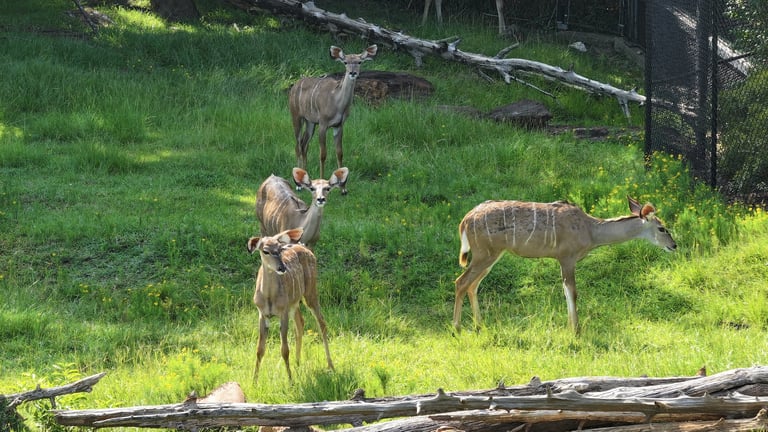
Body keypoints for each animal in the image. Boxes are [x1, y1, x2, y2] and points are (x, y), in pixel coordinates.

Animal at [247, 228, 335, 382]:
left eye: (280, 249)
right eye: (265, 251)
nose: (282, 267)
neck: (269, 298)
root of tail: (305, 247)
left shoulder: (283, 312)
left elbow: (284, 350)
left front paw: (290, 381)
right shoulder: (262, 313)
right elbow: (259, 350)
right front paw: (254, 381)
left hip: (310, 291)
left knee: (321, 323)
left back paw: (330, 366)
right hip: (294, 303)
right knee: (300, 323)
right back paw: (297, 363)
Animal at [288, 44, 377, 194]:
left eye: (359, 62)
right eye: (345, 62)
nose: (353, 73)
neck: (338, 103)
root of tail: (294, 86)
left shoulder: (339, 125)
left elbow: (339, 152)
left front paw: (343, 188)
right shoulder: (323, 124)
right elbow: (323, 154)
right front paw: (321, 182)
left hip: (310, 122)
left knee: (304, 144)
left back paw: (304, 177)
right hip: (296, 116)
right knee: (297, 145)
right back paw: (298, 185)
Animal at [453, 196, 677, 334]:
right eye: (662, 228)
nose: (674, 245)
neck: (590, 229)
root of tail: (466, 220)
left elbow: (566, 291)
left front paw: (571, 327)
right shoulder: (567, 258)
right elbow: (572, 292)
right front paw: (576, 330)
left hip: (491, 256)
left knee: (473, 285)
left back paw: (479, 325)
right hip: (484, 254)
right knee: (461, 282)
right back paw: (457, 328)